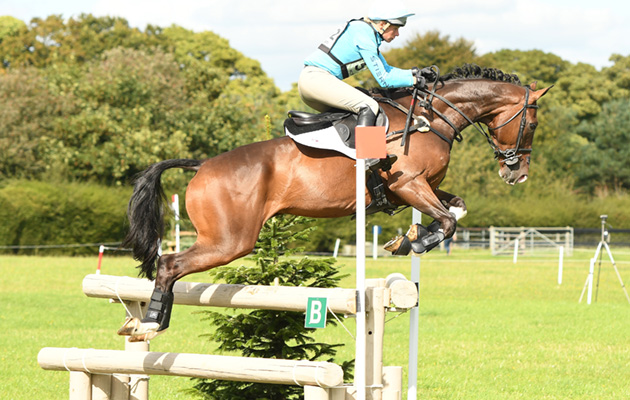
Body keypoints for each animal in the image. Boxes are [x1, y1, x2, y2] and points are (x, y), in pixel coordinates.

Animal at [118, 64, 552, 340]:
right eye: (531, 124)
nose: (517, 174)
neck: (432, 118)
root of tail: (203, 165)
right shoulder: (410, 183)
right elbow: (447, 222)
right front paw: (412, 241)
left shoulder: (418, 186)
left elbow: (456, 208)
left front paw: (407, 238)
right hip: (229, 240)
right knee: (170, 264)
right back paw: (150, 324)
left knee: (170, 266)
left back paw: (148, 323)